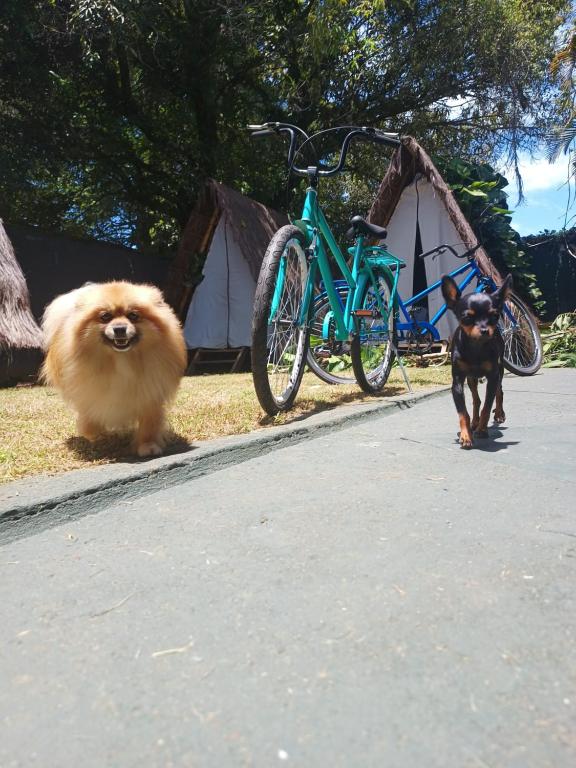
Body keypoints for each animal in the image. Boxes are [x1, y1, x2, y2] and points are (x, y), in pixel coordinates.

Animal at [41, 280, 186, 456]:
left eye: (133, 315)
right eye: (105, 316)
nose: (119, 329)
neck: (121, 360)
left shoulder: (150, 394)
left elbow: (149, 424)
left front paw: (148, 445)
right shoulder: (88, 393)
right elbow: (89, 417)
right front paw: (93, 433)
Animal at [440, 272, 512, 448]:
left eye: (495, 316)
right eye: (466, 318)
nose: (485, 330)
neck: (476, 347)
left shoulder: (492, 377)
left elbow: (487, 406)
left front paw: (482, 430)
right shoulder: (457, 382)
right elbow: (463, 412)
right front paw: (466, 435)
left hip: (499, 371)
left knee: (499, 392)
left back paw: (499, 414)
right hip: (471, 378)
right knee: (476, 399)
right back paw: (474, 421)